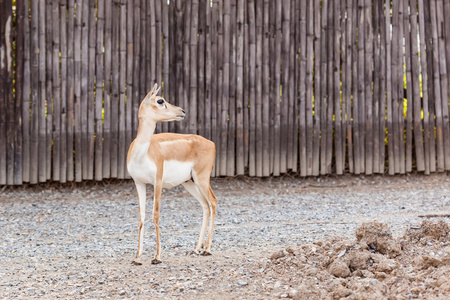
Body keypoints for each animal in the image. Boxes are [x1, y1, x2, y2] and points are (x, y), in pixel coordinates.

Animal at [126, 83, 218, 264]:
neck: (142, 154)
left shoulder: (158, 181)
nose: (182, 111)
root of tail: (211, 143)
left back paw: (207, 249)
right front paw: (137, 257)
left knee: (213, 202)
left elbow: (155, 214)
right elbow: (141, 217)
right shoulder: (139, 183)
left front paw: (157, 256)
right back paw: (196, 248)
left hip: (202, 178)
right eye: (160, 100)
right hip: (190, 182)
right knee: (205, 205)